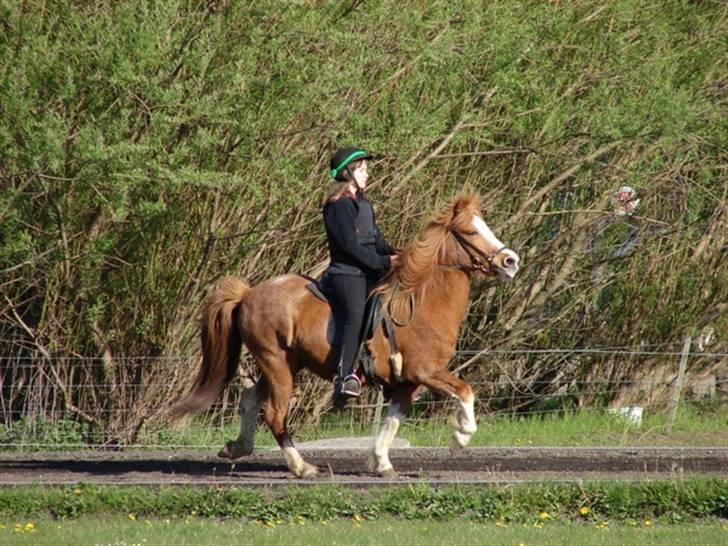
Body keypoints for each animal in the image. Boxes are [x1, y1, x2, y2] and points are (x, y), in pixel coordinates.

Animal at [172, 192, 516, 476]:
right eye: (471, 232)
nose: (510, 261)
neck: (420, 303)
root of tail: (248, 293)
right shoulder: (425, 371)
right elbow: (466, 391)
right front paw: (460, 437)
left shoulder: (408, 381)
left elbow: (392, 420)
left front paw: (381, 463)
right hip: (276, 362)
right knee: (274, 413)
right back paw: (302, 467)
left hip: (287, 364)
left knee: (250, 399)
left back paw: (237, 447)